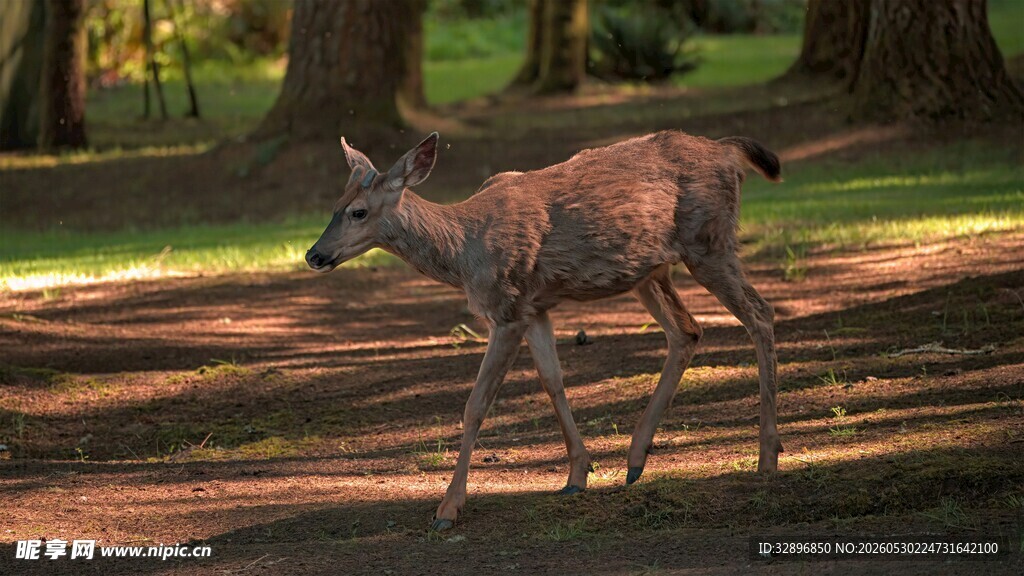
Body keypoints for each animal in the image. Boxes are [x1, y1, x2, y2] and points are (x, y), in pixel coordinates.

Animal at [305, 130, 783, 531]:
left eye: (358, 211)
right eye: (333, 206)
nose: (314, 254)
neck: (464, 253)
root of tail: (727, 151)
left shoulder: (506, 309)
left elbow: (476, 405)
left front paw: (448, 508)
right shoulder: (534, 308)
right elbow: (553, 382)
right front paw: (577, 474)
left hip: (709, 242)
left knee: (760, 315)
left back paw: (767, 457)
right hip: (651, 271)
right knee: (687, 331)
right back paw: (636, 459)